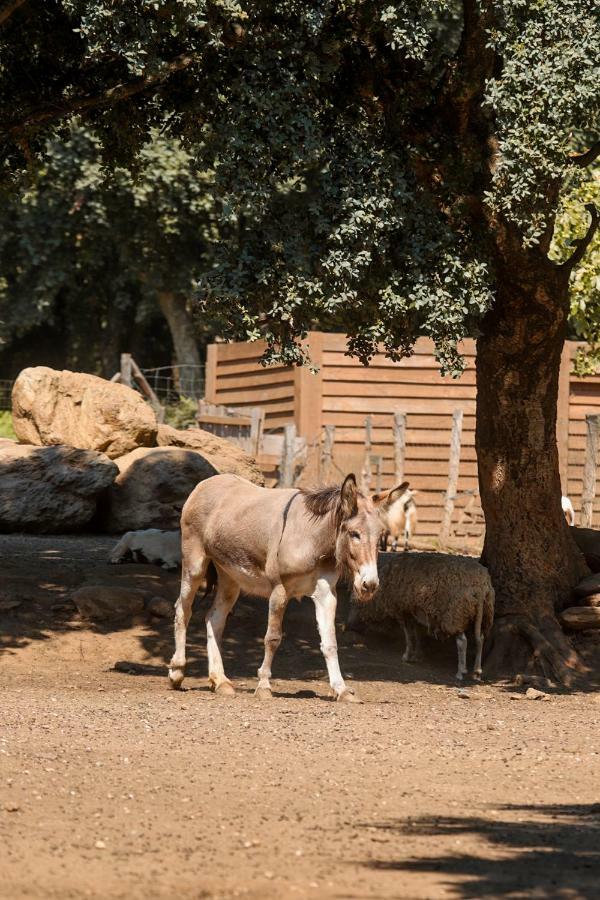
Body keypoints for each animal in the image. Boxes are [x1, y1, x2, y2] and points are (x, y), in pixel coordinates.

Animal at [350, 548, 494, 684]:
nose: (352, 623)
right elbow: (418, 632)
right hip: (483, 613)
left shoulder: (403, 610)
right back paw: (477, 672)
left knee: (462, 642)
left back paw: (461, 671)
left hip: (455, 615)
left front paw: (407, 655)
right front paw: (418, 655)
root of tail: (480, 585)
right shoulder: (414, 610)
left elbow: (409, 635)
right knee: (480, 639)